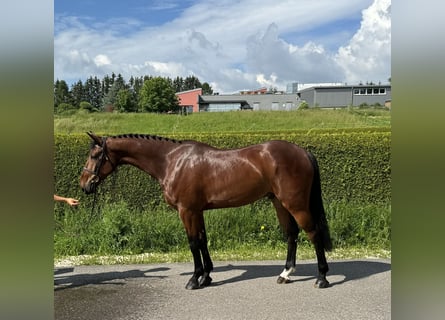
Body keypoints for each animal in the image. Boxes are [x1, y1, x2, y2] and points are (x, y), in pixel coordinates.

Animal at [80, 132, 332, 290]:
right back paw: (285, 274)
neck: (171, 161)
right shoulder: (197, 211)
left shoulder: (187, 210)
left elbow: (193, 243)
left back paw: (321, 278)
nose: (84, 185)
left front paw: (194, 279)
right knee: (292, 234)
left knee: (313, 233)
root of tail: (303, 152)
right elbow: (202, 240)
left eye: (95, 156)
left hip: (295, 204)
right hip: (279, 203)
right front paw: (207, 276)